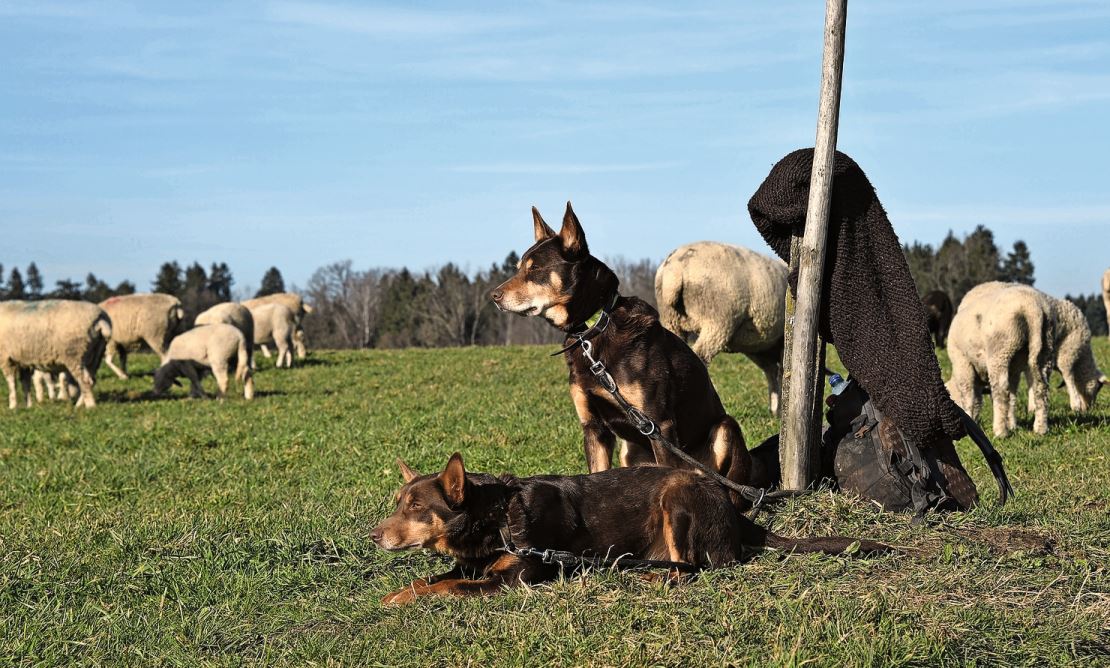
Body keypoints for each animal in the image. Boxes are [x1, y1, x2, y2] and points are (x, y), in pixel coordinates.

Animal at [372, 452, 892, 603]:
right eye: (397, 503)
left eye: (415, 506)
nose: (373, 536)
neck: (495, 516)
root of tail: (738, 515)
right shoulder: (479, 565)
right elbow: (433, 576)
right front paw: (398, 592)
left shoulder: (512, 578)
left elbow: (450, 585)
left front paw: (408, 596)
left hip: (677, 497)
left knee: (699, 569)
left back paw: (647, 577)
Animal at [652, 239, 785, 412]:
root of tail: (676, 267)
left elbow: (773, 372)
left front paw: (776, 409)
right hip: (717, 320)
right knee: (700, 356)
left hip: (671, 319)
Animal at [945, 280, 1101, 437]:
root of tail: (1033, 307)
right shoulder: (1014, 369)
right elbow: (1010, 396)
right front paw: (1012, 424)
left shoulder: (962, 363)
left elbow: (968, 396)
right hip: (1044, 348)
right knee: (1040, 388)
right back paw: (1040, 428)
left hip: (1001, 350)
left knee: (1001, 390)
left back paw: (1000, 431)